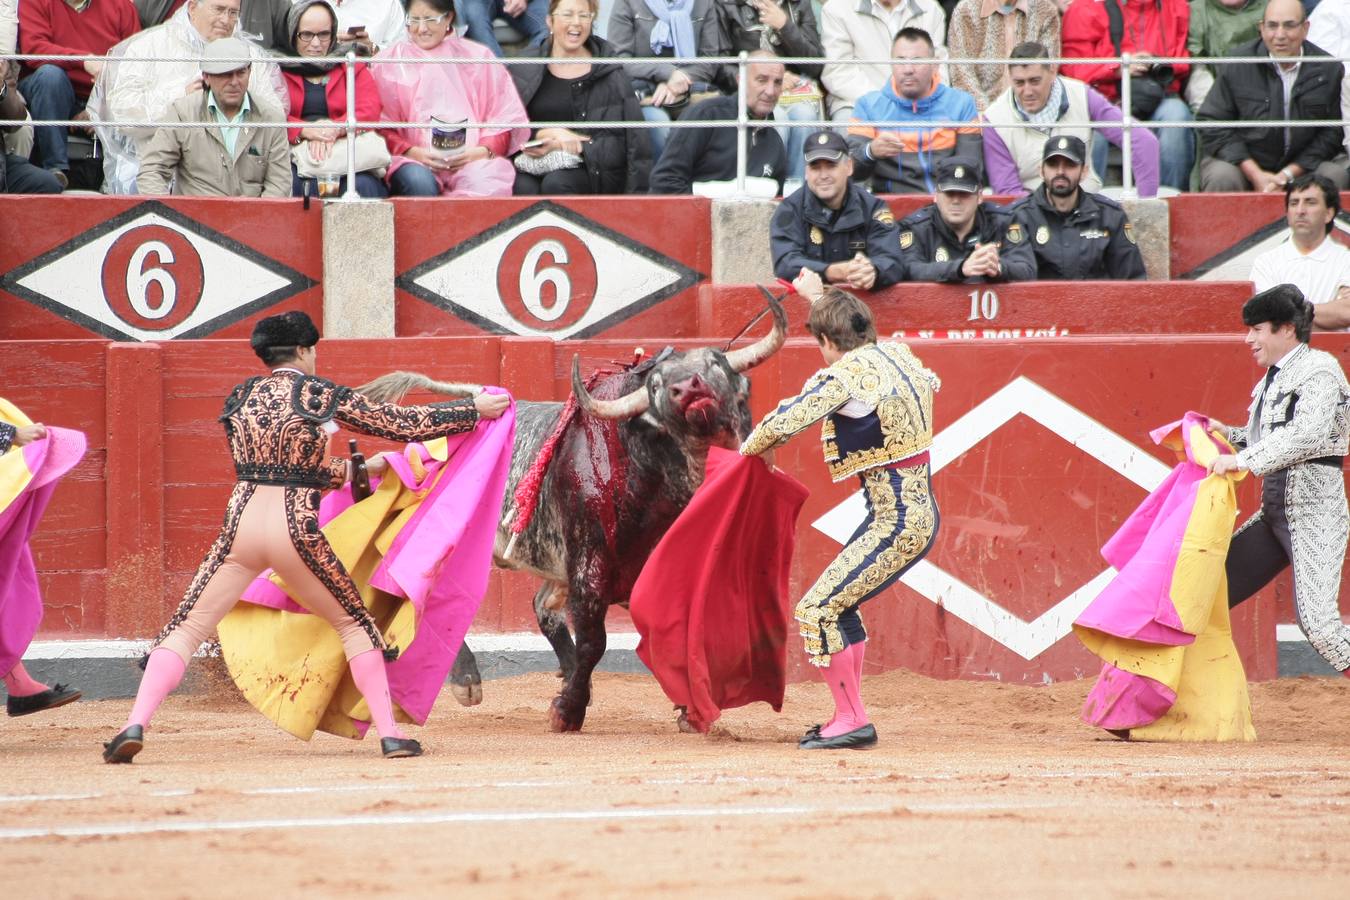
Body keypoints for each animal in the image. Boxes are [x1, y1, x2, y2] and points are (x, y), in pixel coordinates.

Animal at [364, 295, 788, 734]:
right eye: (655, 385)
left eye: (716, 363)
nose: (688, 387)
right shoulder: (589, 567)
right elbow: (594, 641)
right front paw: (567, 711)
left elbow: (681, 633)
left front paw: (691, 710)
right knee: (419, 592)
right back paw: (466, 680)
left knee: (540, 607)